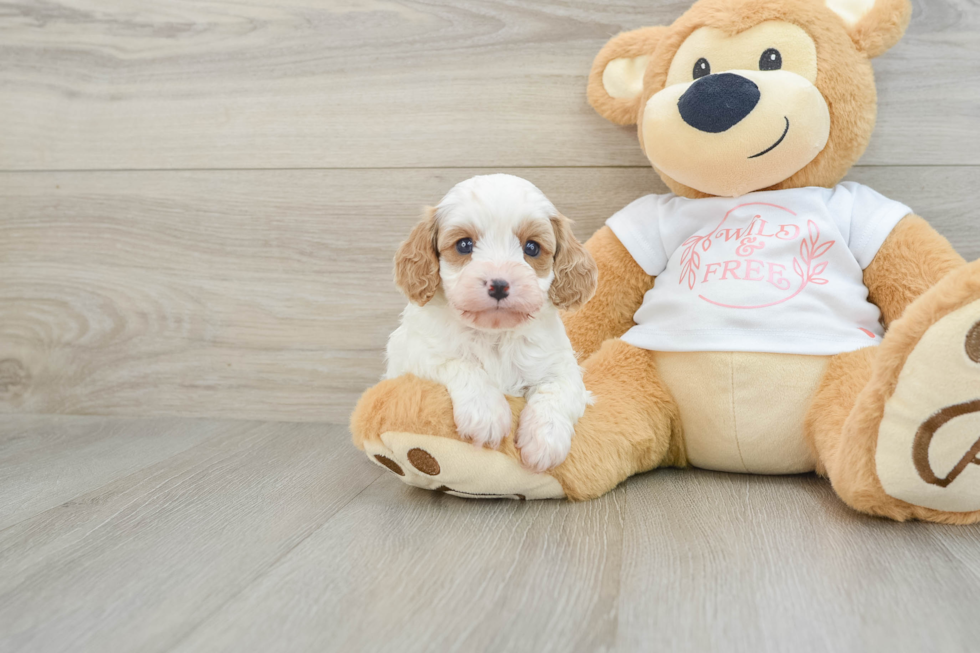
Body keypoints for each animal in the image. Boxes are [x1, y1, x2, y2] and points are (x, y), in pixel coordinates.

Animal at [382, 173, 596, 468]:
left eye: (532, 247)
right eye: (464, 245)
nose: (499, 285)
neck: (494, 334)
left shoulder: (560, 364)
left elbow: (557, 392)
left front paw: (545, 441)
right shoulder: (416, 353)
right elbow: (463, 364)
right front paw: (486, 415)